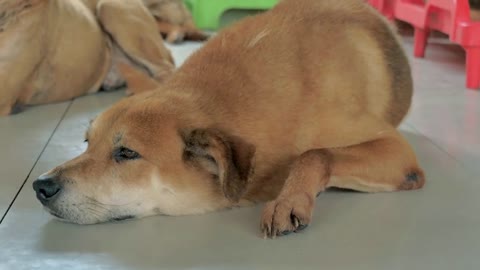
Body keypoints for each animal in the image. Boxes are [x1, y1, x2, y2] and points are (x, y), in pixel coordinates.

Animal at [32, 0, 424, 237]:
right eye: (87, 143)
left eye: (127, 153)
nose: (40, 186)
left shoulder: (399, 153)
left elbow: (314, 154)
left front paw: (289, 198)